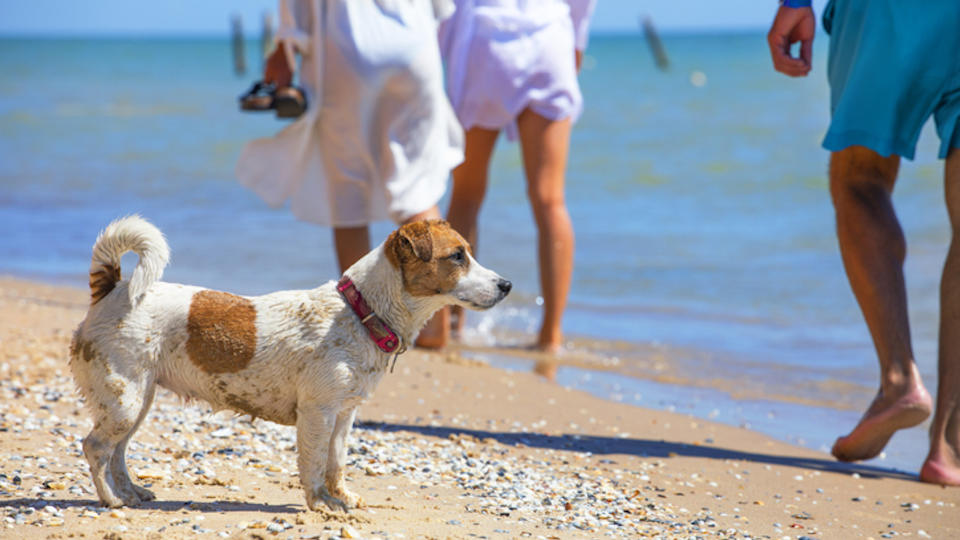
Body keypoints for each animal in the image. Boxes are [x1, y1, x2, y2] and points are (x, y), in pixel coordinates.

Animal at [67, 215, 510, 510]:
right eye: (457, 256)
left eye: (468, 253)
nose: (507, 285)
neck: (359, 312)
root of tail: (111, 290)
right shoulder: (318, 412)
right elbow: (312, 463)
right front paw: (320, 504)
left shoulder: (344, 414)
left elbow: (337, 462)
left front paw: (342, 497)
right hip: (124, 401)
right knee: (95, 447)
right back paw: (110, 500)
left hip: (137, 402)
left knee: (117, 452)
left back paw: (131, 492)